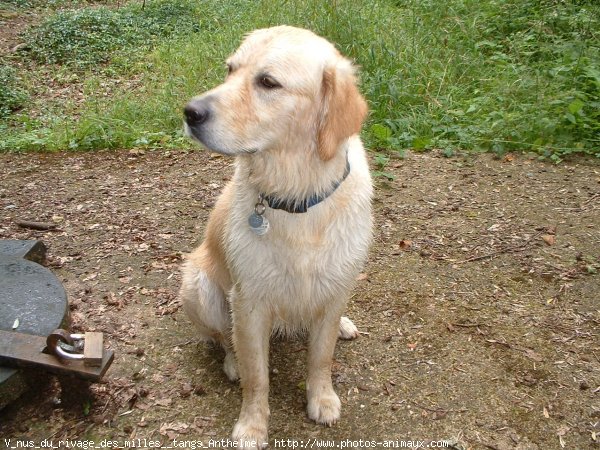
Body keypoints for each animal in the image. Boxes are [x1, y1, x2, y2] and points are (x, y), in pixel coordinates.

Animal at [180, 25, 372, 446]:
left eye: (268, 82)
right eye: (230, 69)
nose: (190, 112)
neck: (296, 199)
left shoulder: (335, 286)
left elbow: (321, 357)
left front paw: (322, 398)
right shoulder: (250, 300)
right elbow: (257, 377)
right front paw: (252, 425)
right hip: (199, 287)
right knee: (223, 337)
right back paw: (232, 361)